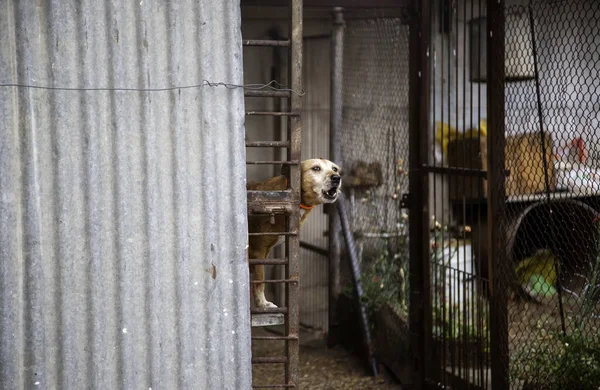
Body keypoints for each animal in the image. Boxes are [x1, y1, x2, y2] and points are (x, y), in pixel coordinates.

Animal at [247, 158, 342, 308]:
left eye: (335, 169)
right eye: (316, 168)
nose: (337, 178)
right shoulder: (258, 252)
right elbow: (260, 282)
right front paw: (263, 304)